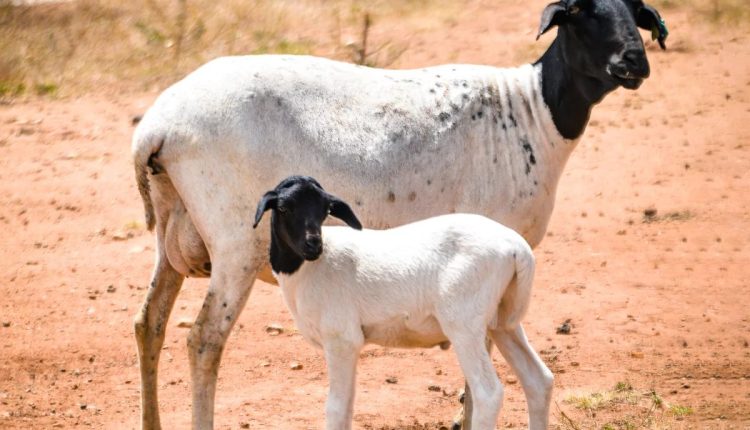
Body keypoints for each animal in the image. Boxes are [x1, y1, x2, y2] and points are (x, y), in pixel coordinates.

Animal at [256, 175, 556, 430]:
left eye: (324, 209)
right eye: (283, 208)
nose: (313, 245)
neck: (306, 270)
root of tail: (517, 247)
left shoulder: (342, 339)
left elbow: (336, 409)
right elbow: (348, 406)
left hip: (464, 323)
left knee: (488, 394)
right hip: (502, 321)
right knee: (538, 380)